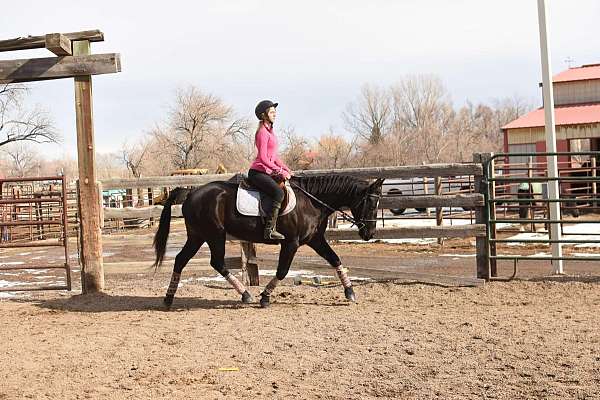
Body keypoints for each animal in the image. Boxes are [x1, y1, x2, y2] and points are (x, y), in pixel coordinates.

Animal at [152, 173, 382, 308]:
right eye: (371, 203)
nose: (369, 234)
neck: (312, 202)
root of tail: (191, 193)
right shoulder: (291, 243)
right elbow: (282, 271)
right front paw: (264, 297)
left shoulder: (315, 240)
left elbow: (335, 260)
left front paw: (350, 292)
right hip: (214, 235)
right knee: (216, 262)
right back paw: (246, 295)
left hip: (197, 236)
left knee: (180, 260)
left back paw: (169, 298)